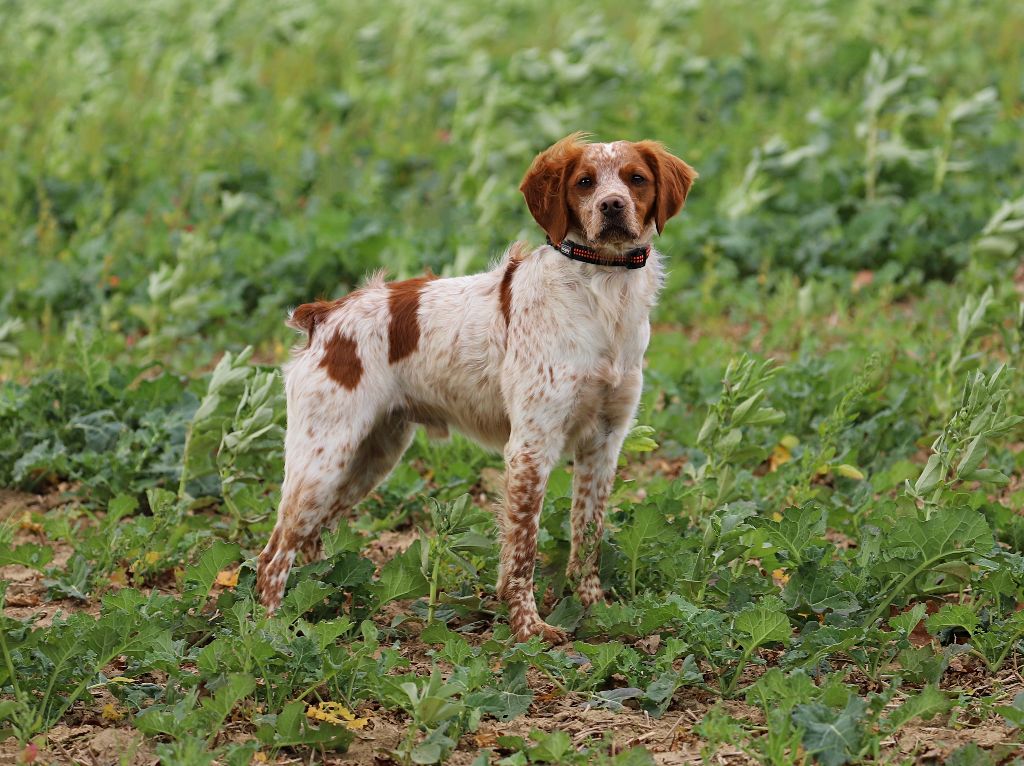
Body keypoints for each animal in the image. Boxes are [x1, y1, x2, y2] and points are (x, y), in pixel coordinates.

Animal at [256, 132, 696, 639]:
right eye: (585, 182)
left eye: (635, 179)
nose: (611, 206)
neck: (602, 291)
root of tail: (325, 315)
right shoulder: (530, 446)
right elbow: (522, 549)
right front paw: (529, 629)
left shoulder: (604, 444)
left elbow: (588, 538)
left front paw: (596, 610)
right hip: (324, 457)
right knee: (273, 555)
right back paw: (269, 635)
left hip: (370, 457)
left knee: (310, 542)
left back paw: (322, 609)